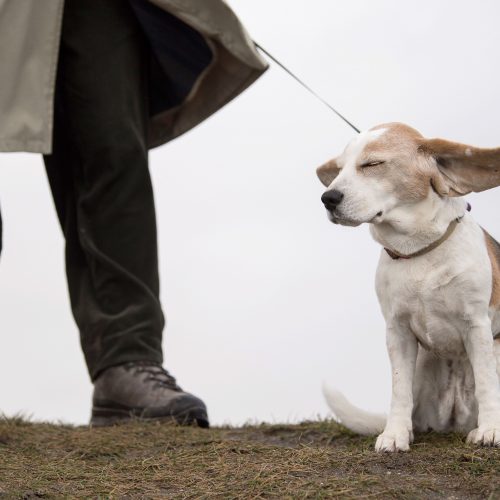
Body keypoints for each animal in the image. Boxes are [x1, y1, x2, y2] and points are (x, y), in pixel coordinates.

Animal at [316, 123, 500, 452]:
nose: (328, 197)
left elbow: (486, 381)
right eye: (339, 168)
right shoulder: (397, 330)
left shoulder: (477, 325)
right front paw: (395, 435)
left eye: (372, 164)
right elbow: (399, 389)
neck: (417, 250)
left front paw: (490, 430)